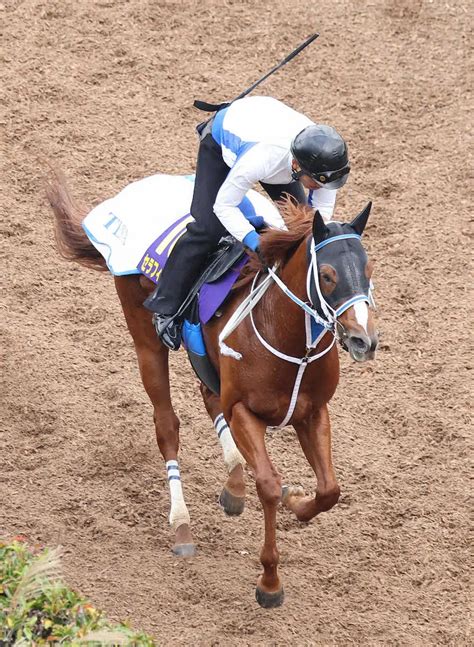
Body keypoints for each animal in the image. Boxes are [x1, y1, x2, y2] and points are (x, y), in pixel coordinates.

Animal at [45, 171, 378, 608]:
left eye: (368, 268)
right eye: (326, 274)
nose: (363, 341)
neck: (291, 341)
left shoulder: (312, 411)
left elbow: (329, 491)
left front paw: (295, 501)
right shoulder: (244, 412)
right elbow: (268, 484)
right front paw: (269, 581)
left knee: (208, 398)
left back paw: (234, 484)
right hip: (145, 339)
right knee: (167, 425)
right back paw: (182, 526)